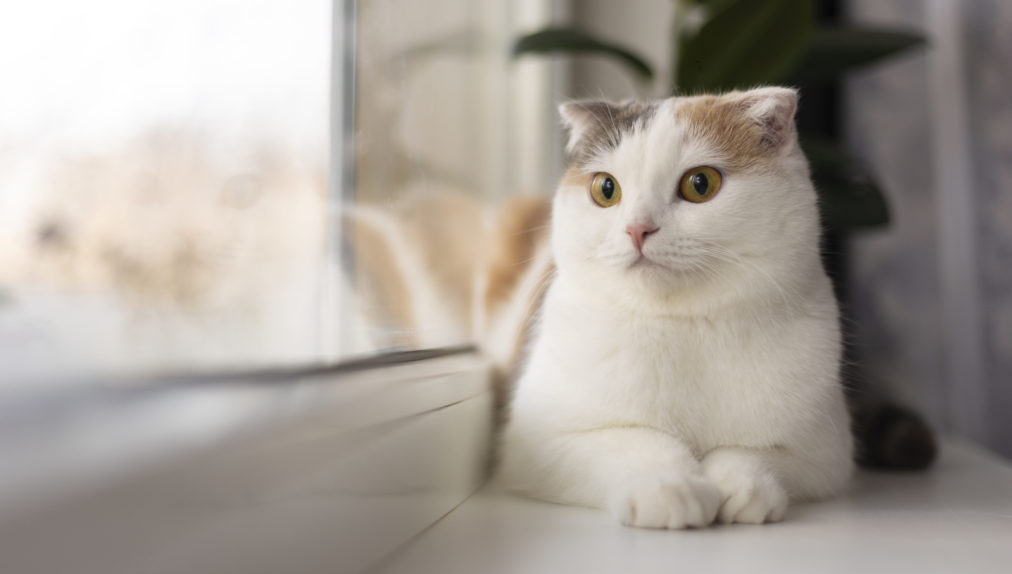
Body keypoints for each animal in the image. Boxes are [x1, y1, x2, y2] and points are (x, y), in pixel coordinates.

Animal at [493, 87, 858, 526]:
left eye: (700, 184)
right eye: (605, 189)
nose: (637, 228)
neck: (683, 325)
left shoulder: (826, 454)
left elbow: (753, 452)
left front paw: (742, 487)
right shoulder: (537, 443)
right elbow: (634, 440)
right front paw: (670, 487)